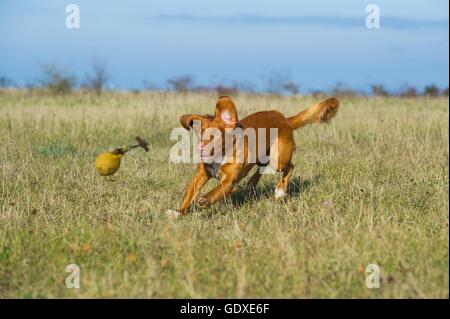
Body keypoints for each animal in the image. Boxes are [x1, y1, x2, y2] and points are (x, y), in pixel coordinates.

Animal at [167, 96, 340, 219]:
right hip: (261, 155)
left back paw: (280, 191)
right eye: (199, 134)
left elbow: (215, 192)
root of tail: (284, 119)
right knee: (261, 168)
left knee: (289, 167)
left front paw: (204, 200)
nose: (201, 148)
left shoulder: (230, 182)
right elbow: (189, 193)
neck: (220, 155)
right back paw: (252, 183)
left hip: (279, 158)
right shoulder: (201, 174)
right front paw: (179, 212)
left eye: (215, 136)